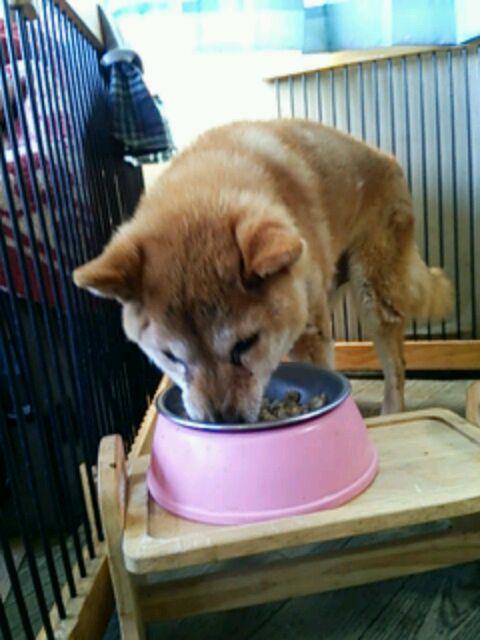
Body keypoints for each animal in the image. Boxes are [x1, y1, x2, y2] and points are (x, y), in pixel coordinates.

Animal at [73, 119, 452, 420]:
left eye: (244, 344)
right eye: (169, 356)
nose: (224, 423)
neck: (208, 185)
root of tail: (389, 159)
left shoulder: (308, 332)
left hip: (374, 294)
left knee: (396, 365)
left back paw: (392, 414)